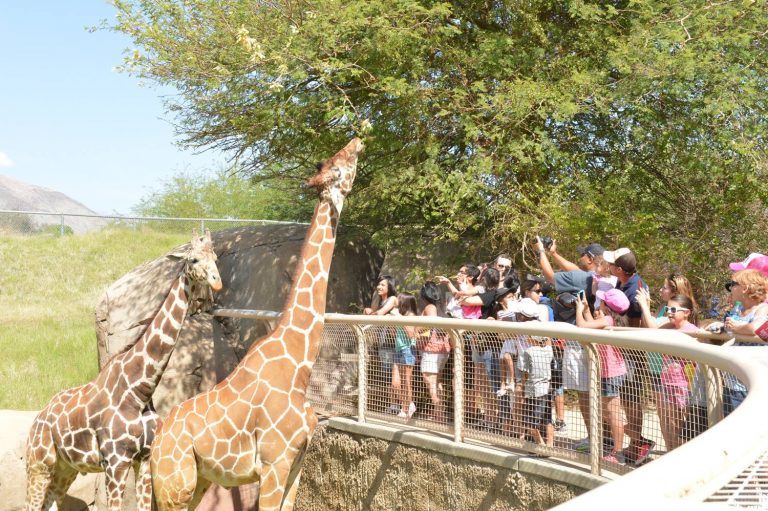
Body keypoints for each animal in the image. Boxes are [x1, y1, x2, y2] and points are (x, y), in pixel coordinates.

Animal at [24, 231, 222, 511]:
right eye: (193, 259)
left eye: (214, 257)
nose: (217, 282)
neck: (141, 388)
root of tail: (37, 419)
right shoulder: (116, 462)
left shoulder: (144, 458)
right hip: (39, 464)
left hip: (65, 468)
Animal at [152, 137, 364, 511]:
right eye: (338, 166)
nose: (357, 141)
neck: (299, 364)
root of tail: (152, 449)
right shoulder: (273, 464)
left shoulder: (297, 463)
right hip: (173, 485)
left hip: (196, 481)